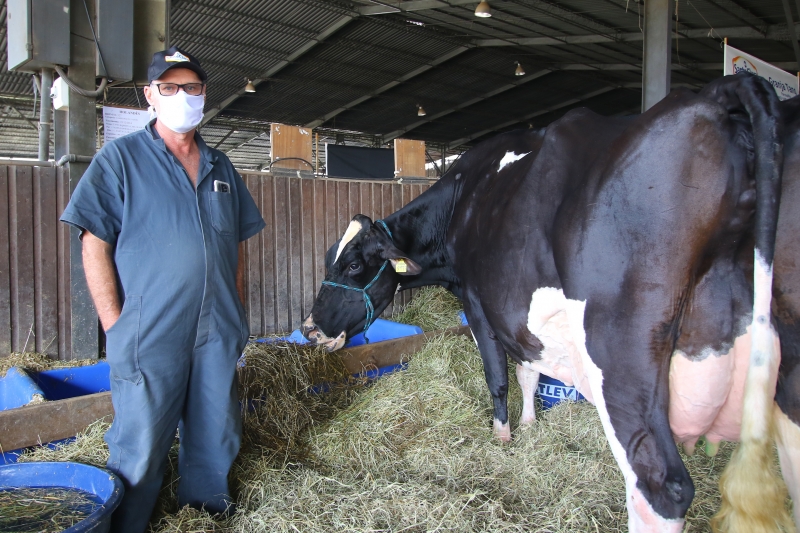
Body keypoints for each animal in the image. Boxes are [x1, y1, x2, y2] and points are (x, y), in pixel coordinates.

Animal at [304, 71, 796, 532]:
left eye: (353, 264)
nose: (309, 328)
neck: (464, 198)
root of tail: (717, 93)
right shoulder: (515, 309)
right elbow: (529, 369)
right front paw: (529, 425)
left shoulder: (480, 304)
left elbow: (498, 377)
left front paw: (502, 437)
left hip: (620, 352)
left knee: (661, 487)